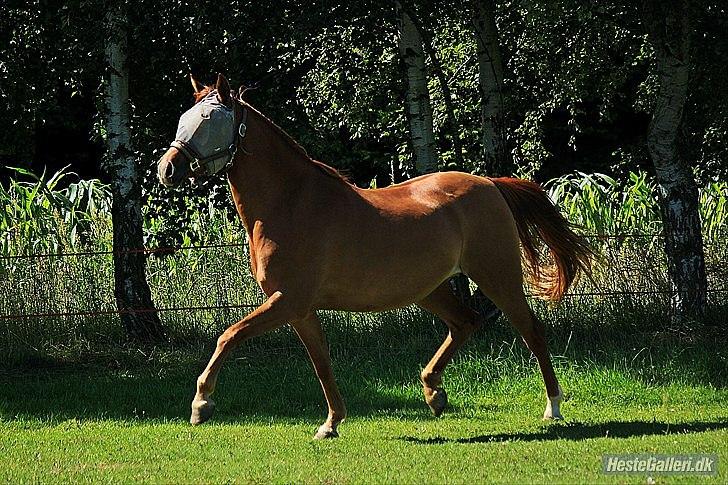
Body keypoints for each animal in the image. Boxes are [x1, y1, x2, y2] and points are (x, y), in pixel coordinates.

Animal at [158, 73, 592, 438]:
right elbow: (322, 363)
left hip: (498, 276)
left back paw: (553, 408)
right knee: (465, 323)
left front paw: (201, 404)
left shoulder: (288, 301)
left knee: (531, 330)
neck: (290, 204)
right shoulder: (298, 308)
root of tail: (489, 183)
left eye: (209, 119)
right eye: (183, 118)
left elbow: (228, 336)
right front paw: (330, 424)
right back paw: (434, 394)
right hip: (429, 289)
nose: (167, 169)